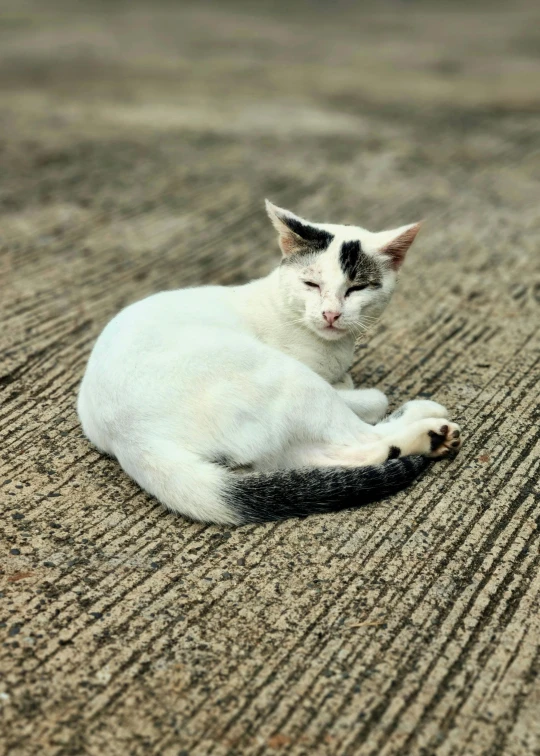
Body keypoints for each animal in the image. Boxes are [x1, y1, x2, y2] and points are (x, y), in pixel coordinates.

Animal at [78, 198, 462, 524]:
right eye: (311, 284)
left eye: (357, 288)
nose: (331, 314)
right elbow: (371, 398)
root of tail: (133, 438)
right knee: (358, 438)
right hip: (287, 378)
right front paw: (358, 392)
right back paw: (428, 428)